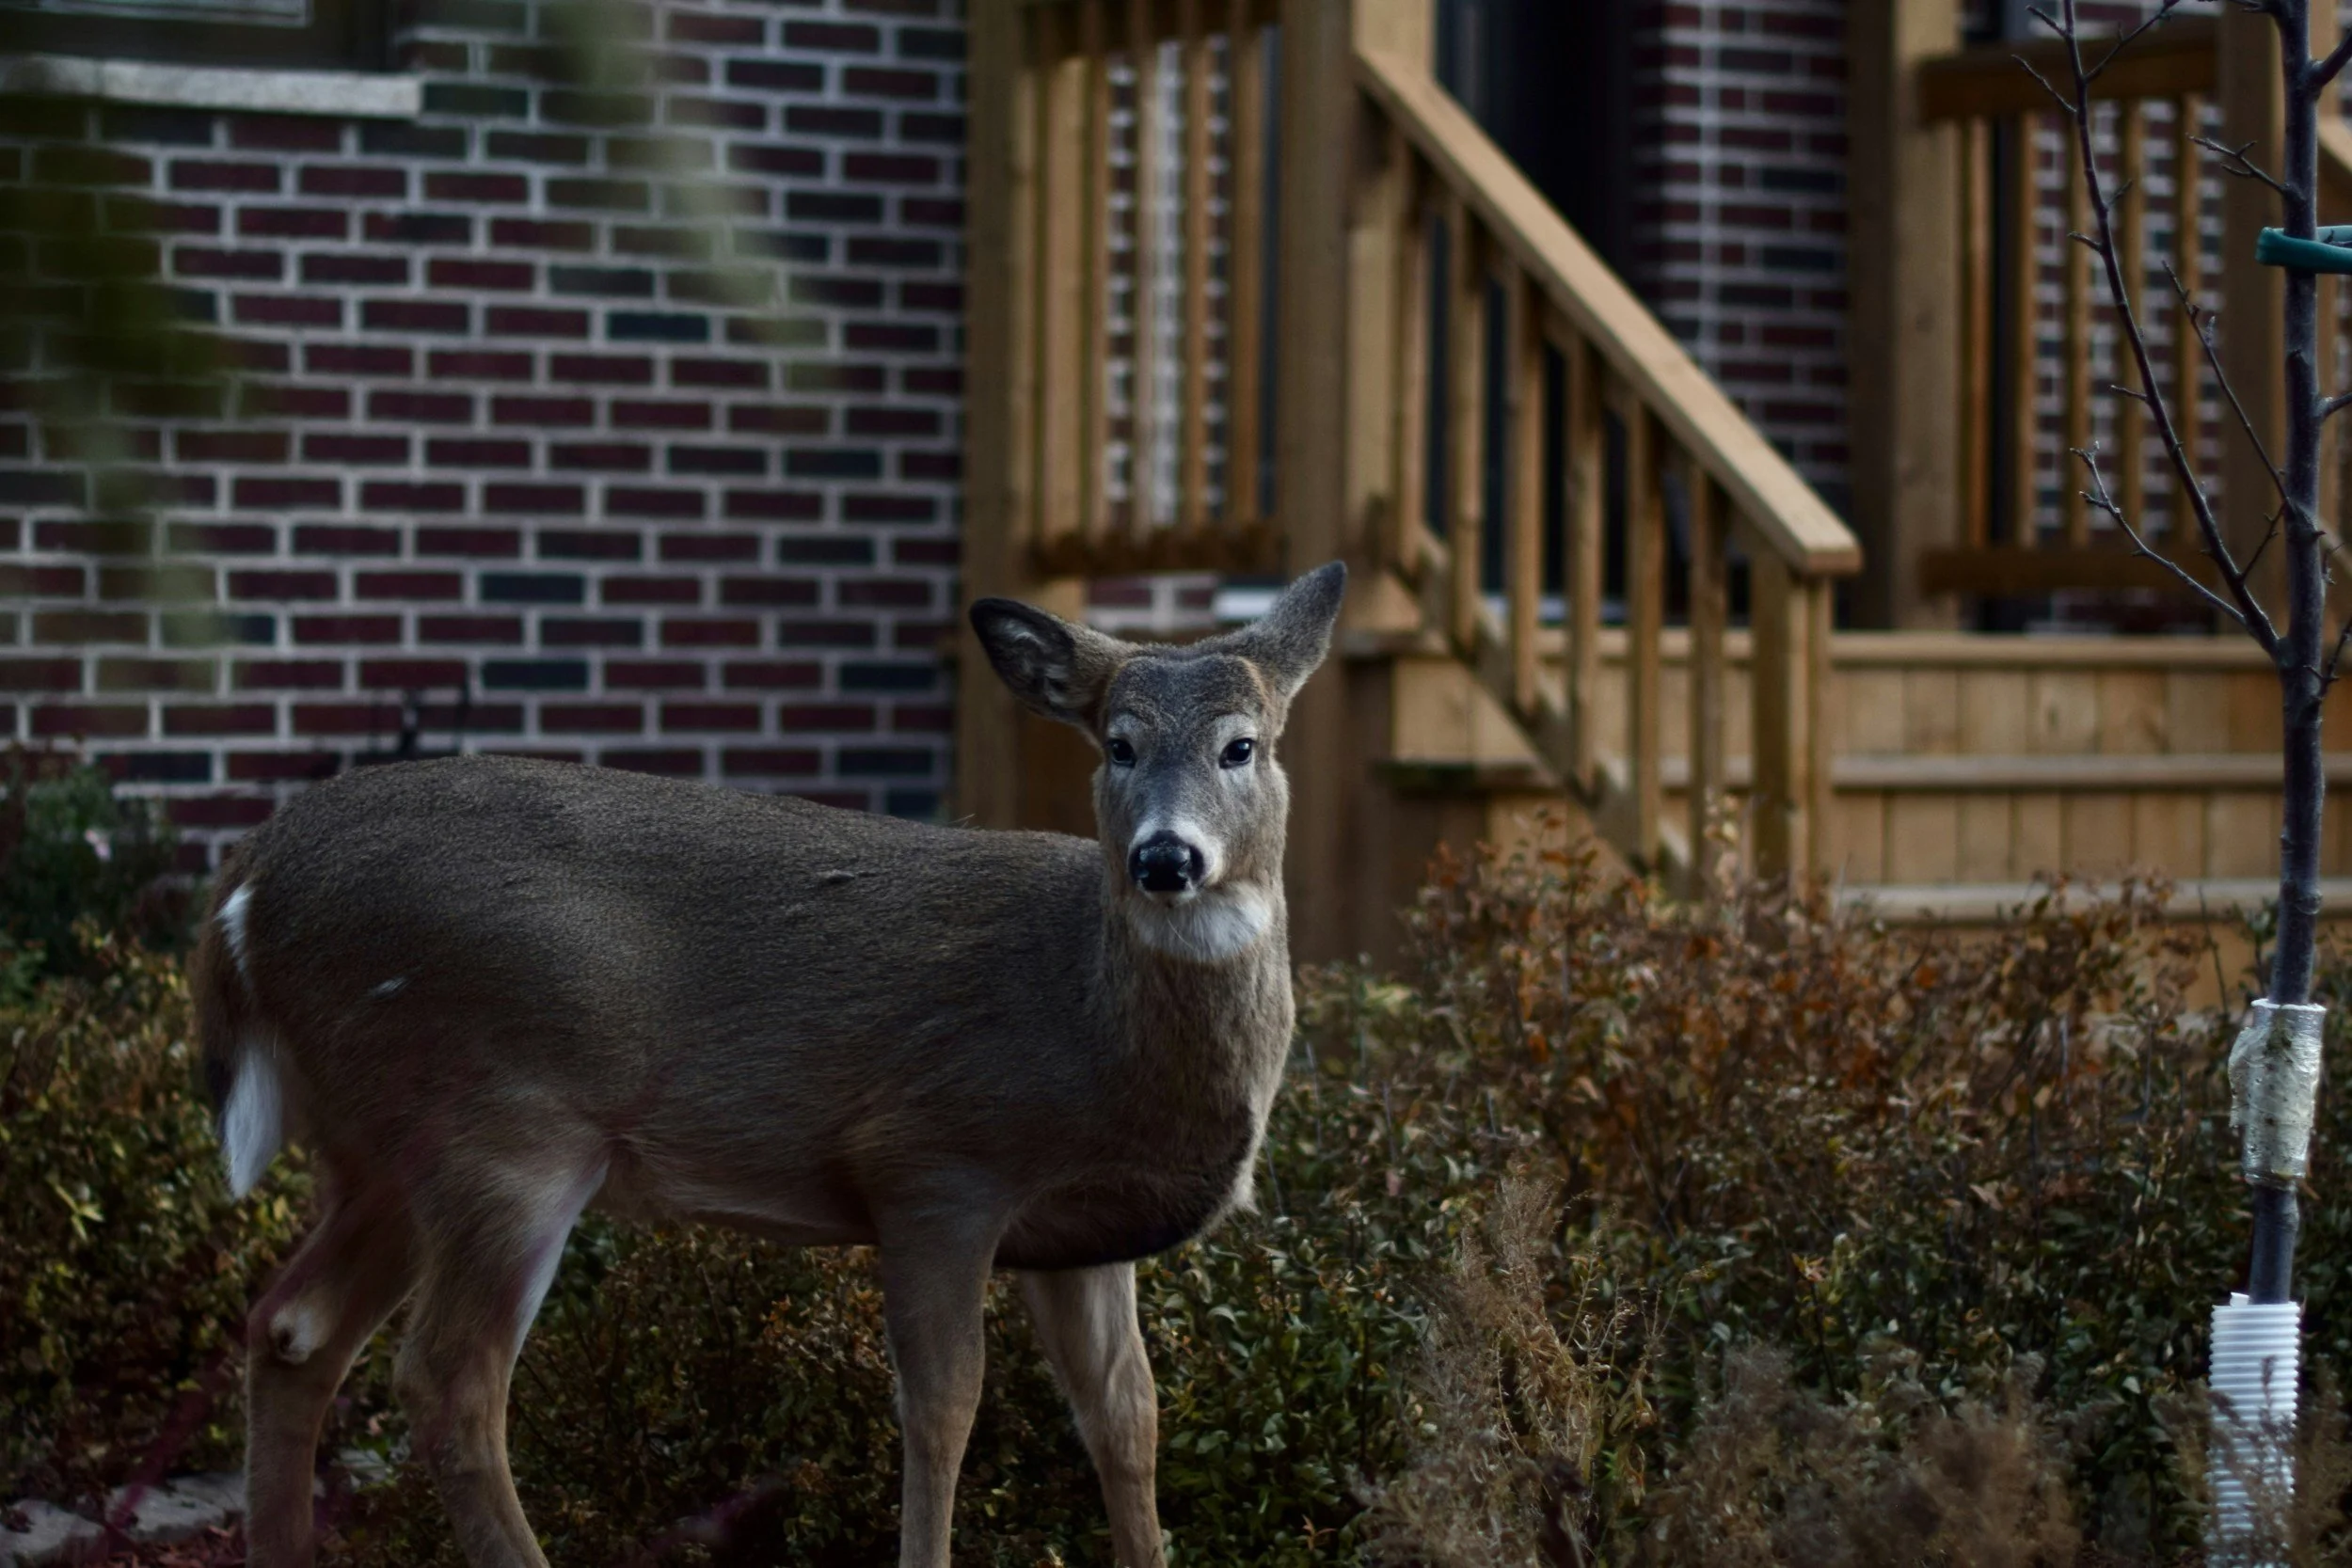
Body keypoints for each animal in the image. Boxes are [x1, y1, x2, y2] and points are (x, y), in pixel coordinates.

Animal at [190, 563, 1346, 1568]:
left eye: (1242, 745)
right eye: (1116, 743)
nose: (1166, 857)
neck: (1097, 1026)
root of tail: (246, 886)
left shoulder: (1082, 1235)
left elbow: (1126, 1416)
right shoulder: (934, 1161)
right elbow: (943, 1409)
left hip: (384, 1146)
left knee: (293, 1328)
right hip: (503, 1122)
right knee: (447, 1382)